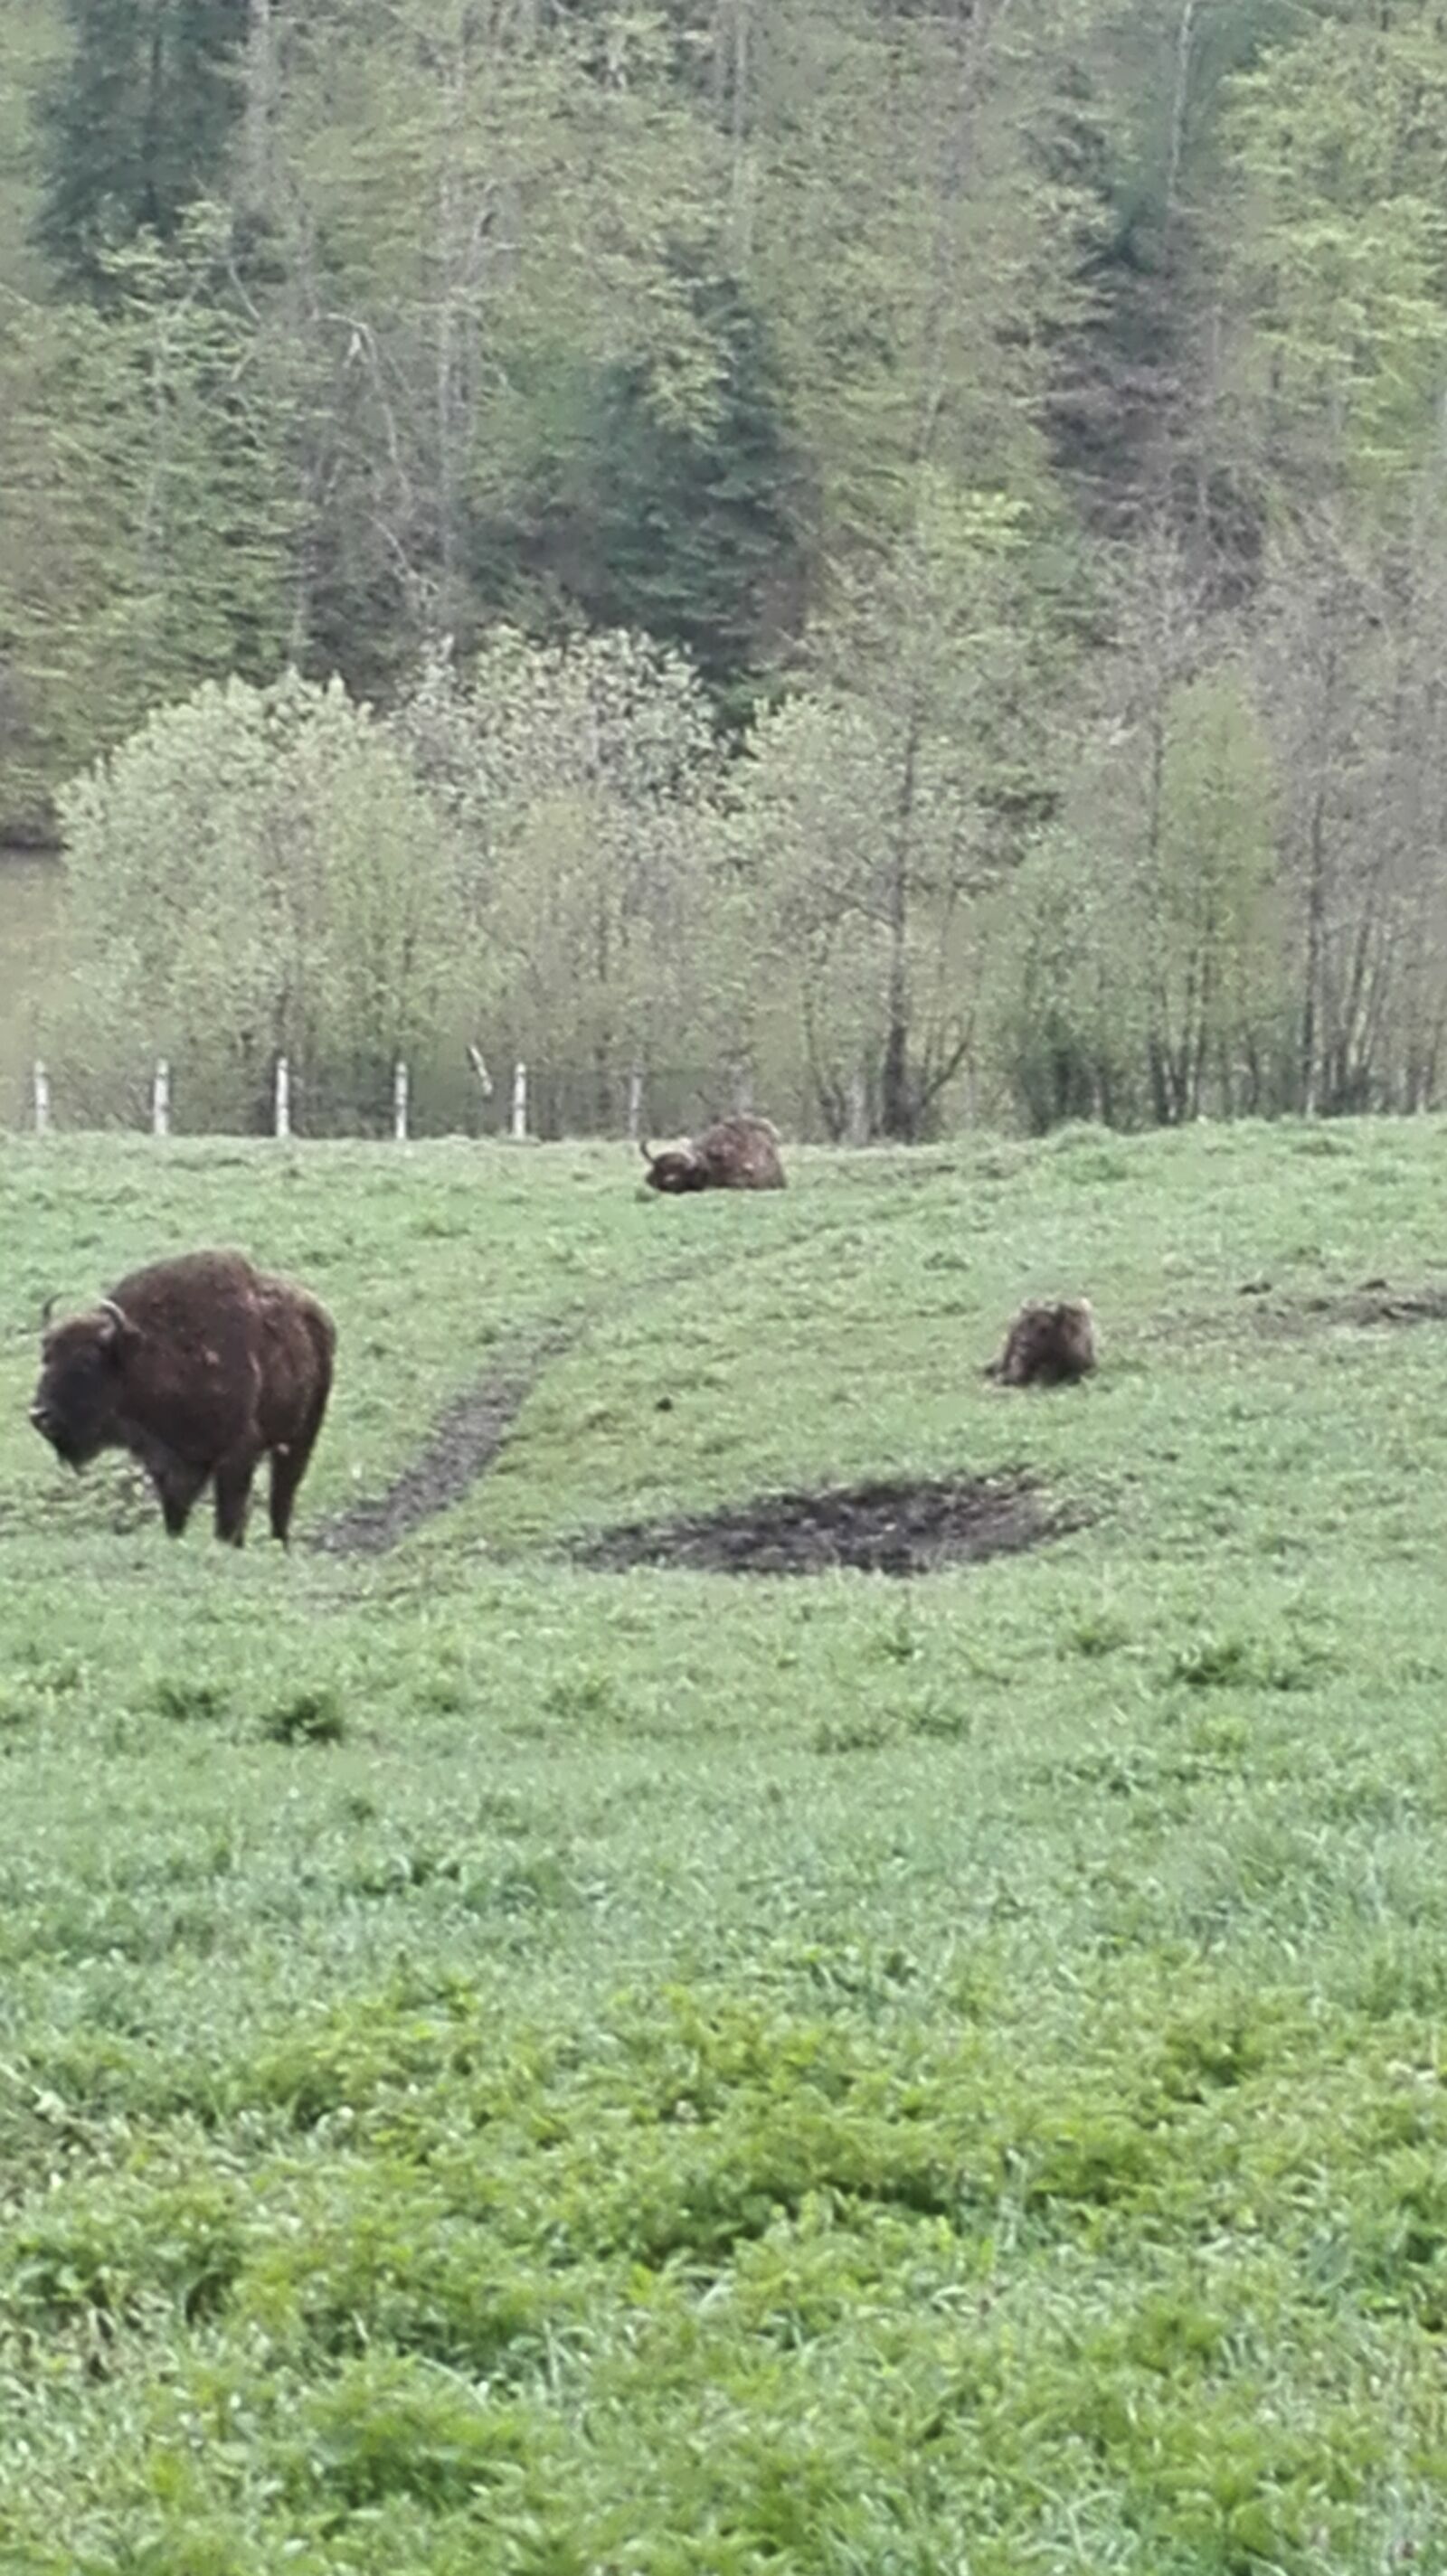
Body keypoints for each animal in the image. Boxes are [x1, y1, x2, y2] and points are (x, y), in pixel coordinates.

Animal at [30, 1248, 335, 1546]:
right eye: (47, 1358)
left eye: (87, 1362)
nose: (39, 1416)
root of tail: (317, 1314)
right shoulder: (167, 1465)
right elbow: (176, 1516)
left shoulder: (236, 1455)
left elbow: (228, 1520)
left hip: (301, 1436)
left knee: (283, 1494)